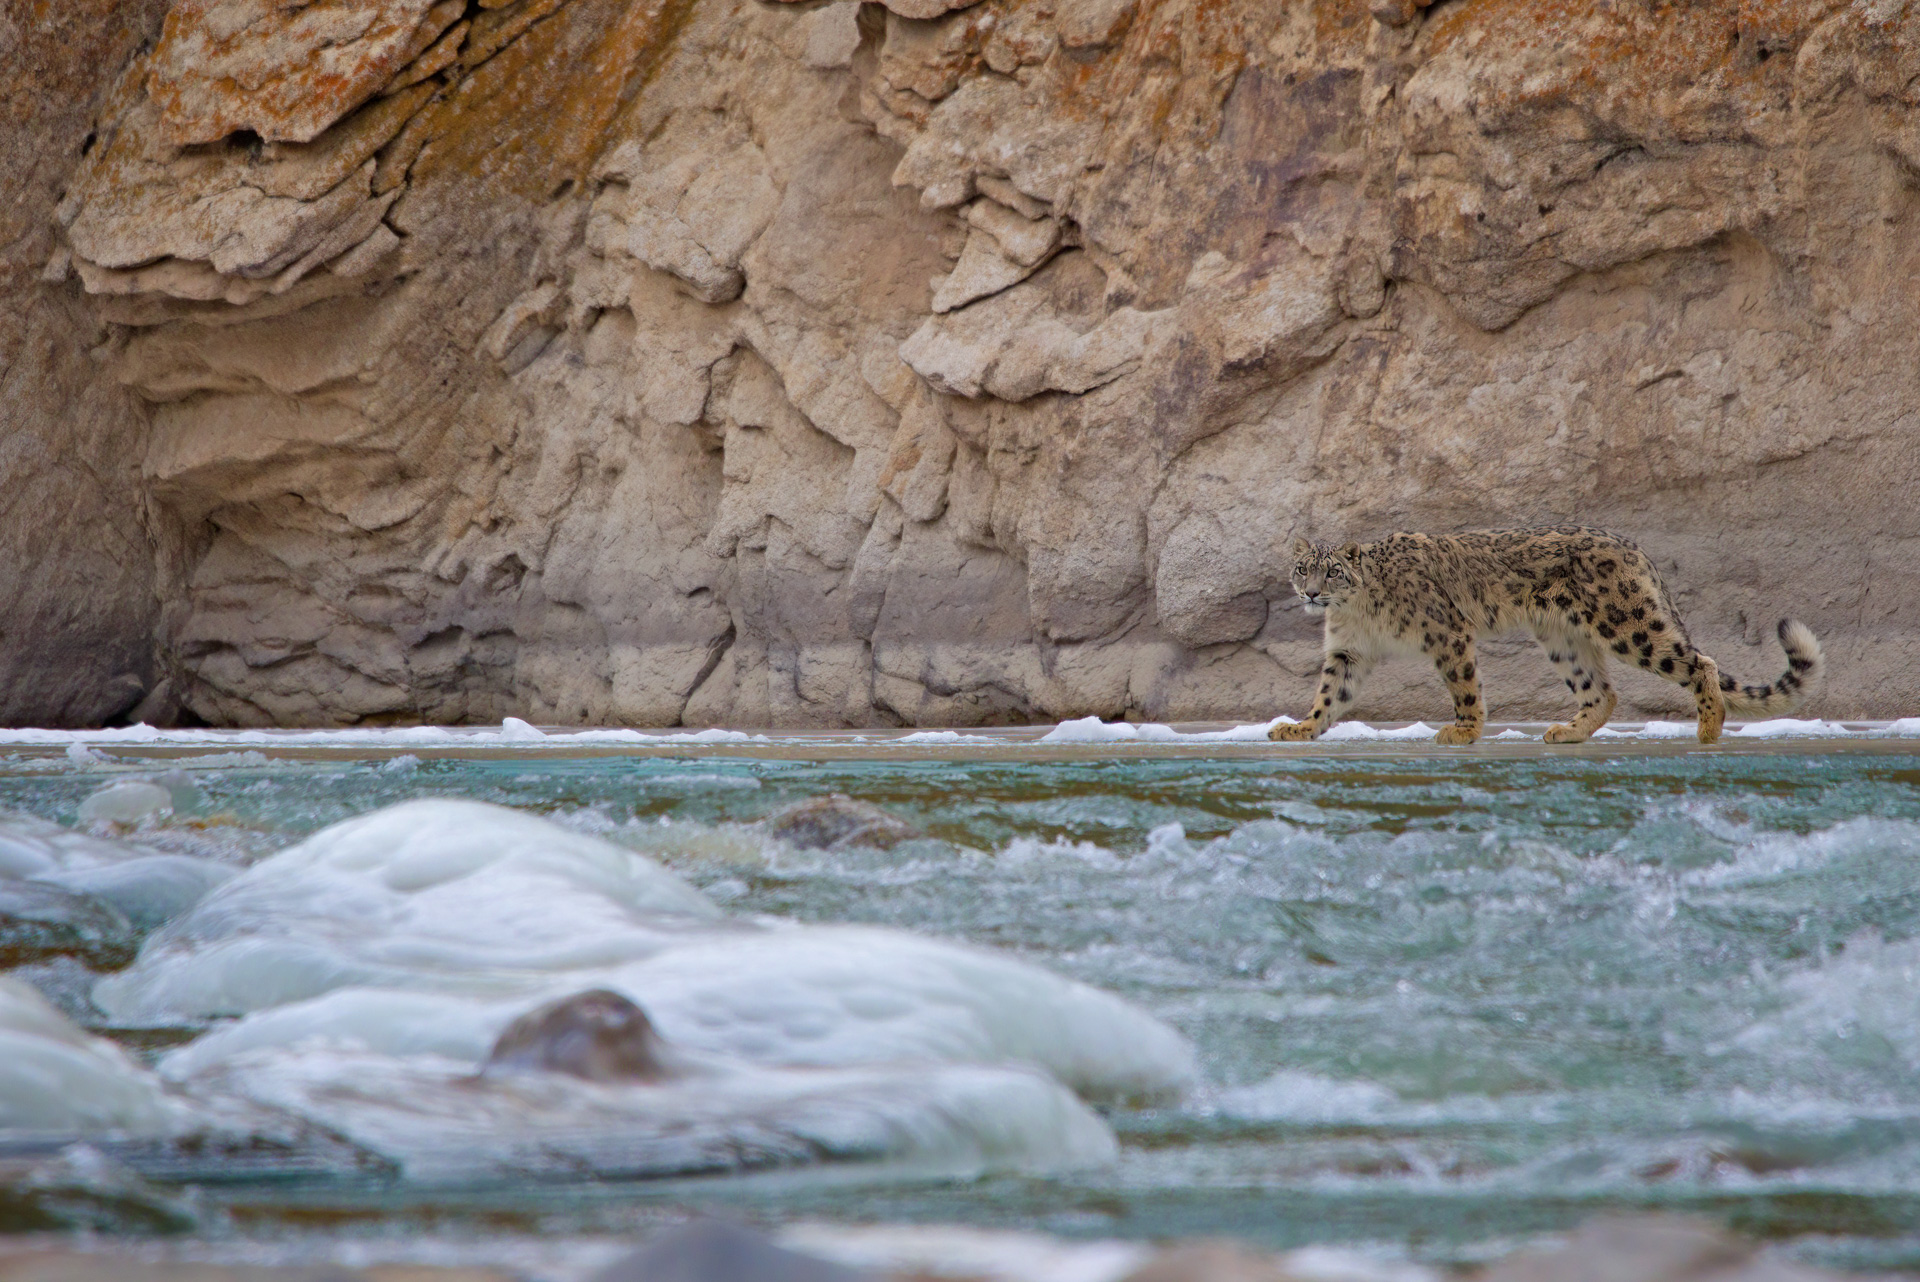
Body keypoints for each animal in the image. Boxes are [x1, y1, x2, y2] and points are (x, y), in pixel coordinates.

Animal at [1267, 522, 1820, 744]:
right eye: (1302, 568)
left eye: (1333, 572)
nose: (1312, 594)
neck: (1357, 613)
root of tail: (1633, 545)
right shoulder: (1348, 653)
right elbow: (1329, 695)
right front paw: (1300, 727)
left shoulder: (1447, 634)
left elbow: (1464, 687)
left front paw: (1464, 730)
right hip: (1564, 641)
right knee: (1601, 691)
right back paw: (1567, 731)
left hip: (1628, 626)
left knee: (1699, 662)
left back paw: (1707, 729)